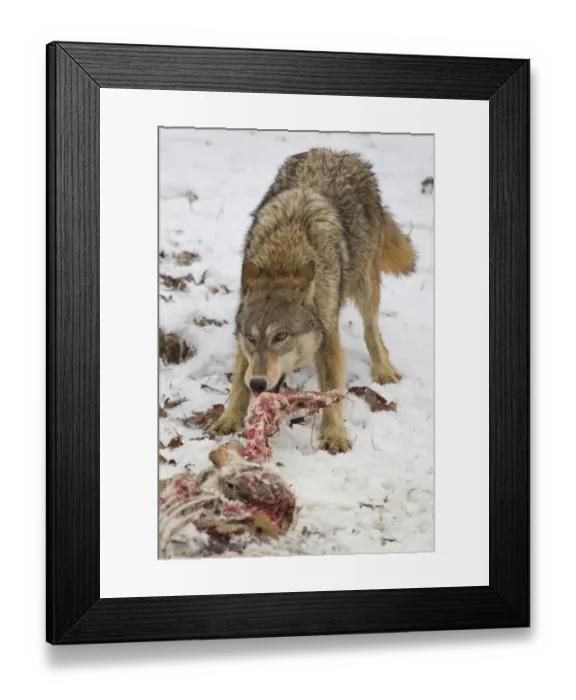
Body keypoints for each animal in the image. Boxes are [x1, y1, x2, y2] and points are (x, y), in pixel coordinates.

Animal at [208, 147, 417, 454]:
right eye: (251, 338)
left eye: (281, 336)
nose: (258, 384)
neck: (284, 258)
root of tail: (339, 152)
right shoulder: (244, 345)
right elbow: (237, 383)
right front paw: (228, 418)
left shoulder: (328, 338)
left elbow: (331, 390)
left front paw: (334, 435)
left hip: (366, 286)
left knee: (372, 329)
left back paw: (383, 371)